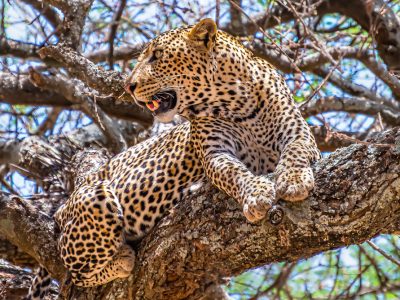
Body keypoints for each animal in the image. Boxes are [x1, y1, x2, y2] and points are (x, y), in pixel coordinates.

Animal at [25, 18, 318, 298]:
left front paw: (293, 181)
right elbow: (233, 173)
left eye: (157, 55)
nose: (129, 86)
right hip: (96, 198)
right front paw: (257, 194)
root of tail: (63, 206)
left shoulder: (299, 133)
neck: (237, 103)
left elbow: (296, 151)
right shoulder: (215, 153)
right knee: (75, 274)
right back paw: (122, 258)